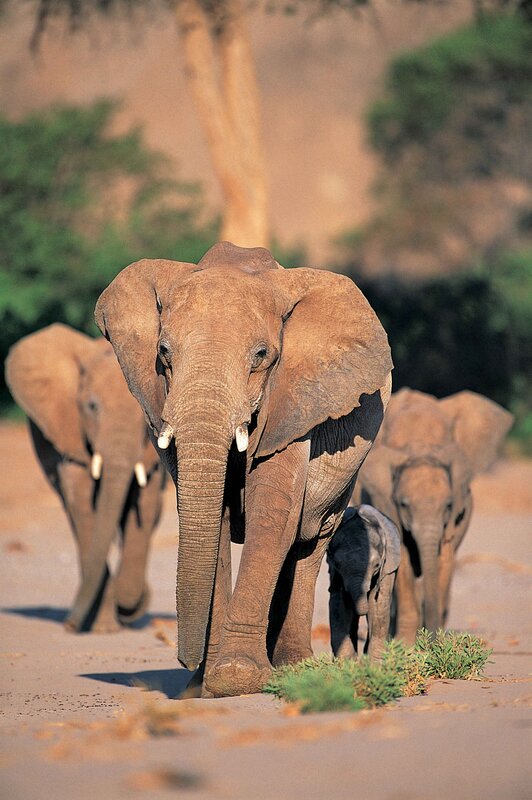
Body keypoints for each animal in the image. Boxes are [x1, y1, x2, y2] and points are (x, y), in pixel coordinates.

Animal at [5, 323, 166, 632]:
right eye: (92, 406)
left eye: (144, 417)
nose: (69, 624)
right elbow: (82, 504)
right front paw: (104, 627)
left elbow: (144, 502)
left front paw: (128, 606)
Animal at [94, 241, 393, 697]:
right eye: (163, 353)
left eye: (261, 356)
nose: (187, 661)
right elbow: (208, 519)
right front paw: (206, 687)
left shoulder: (292, 400)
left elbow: (273, 512)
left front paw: (236, 677)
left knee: (310, 542)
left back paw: (292, 668)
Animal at [327, 504, 401, 661]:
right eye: (337, 564)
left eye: (377, 565)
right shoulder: (335, 573)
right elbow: (338, 604)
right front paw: (347, 663)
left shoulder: (387, 568)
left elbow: (379, 603)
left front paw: (375, 664)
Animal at [356, 387, 513, 643]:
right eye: (403, 504)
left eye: (448, 505)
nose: (430, 638)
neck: (420, 444)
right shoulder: (383, 499)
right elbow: (403, 555)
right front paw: (406, 644)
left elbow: (445, 554)